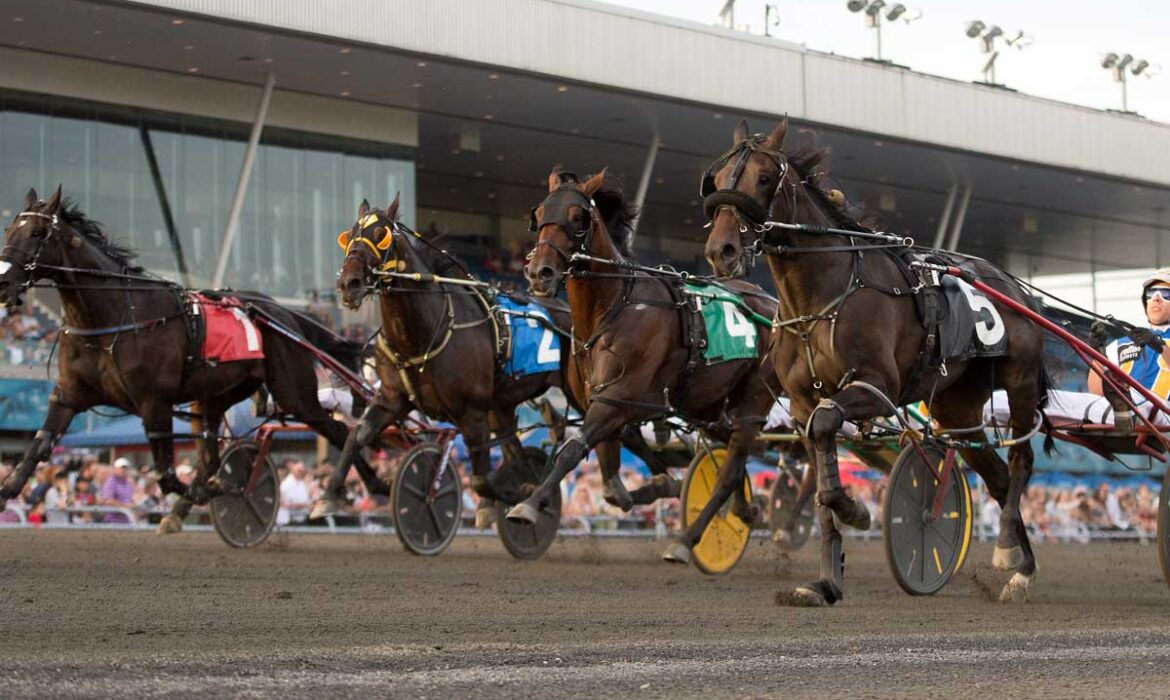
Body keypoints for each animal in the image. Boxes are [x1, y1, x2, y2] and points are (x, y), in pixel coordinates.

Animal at [0, 186, 386, 531]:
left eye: (37, 233)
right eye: (8, 230)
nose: (3, 283)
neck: (113, 318)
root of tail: (286, 316)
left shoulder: (154, 402)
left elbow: (167, 475)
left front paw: (213, 490)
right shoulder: (68, 395)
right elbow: (39, 446)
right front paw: (9, 489)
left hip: (294, 393)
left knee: (339, 429)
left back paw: (364, 488)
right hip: (219, 394)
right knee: (212, 450)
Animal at [320, 194, 673, 524]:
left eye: (381, 234)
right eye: (349, 235)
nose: (348, 283)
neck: (423, 332)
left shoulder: (472, 411)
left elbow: (481, 481)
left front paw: (522, 496)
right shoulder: (392, 399)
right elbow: (355, 437)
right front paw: (330, 495)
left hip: (586, 392)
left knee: (621, 430)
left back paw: (663, 479)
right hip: (504, 403)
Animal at [512, 166, 776, 564]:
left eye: (577, 217)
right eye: (540, 214)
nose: (539, 272)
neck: (613, 307)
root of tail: (775, 305)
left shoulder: (615, 399)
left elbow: (572, 450)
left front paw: (529, 504)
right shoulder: (602, 402)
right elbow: (610, 487)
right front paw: (661, 483)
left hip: (752, 399)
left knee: (730, 470)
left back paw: (686, 540)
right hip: (713, 405)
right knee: (735, 456)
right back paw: (745, 509)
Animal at [692, 119, 1053, 604]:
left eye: (765, 178)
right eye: (716, 180)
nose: (722, 250)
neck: (820, 297)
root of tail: (1014, 287)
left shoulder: (875, 386)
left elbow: (828, 427)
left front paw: (856, 510)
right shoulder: (802, 404)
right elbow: (820, 465)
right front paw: (826, 580)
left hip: (1019, 379)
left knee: (1020, 460)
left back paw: (1010, 553)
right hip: (955, 405)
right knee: (994, 475)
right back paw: (1021, 568)